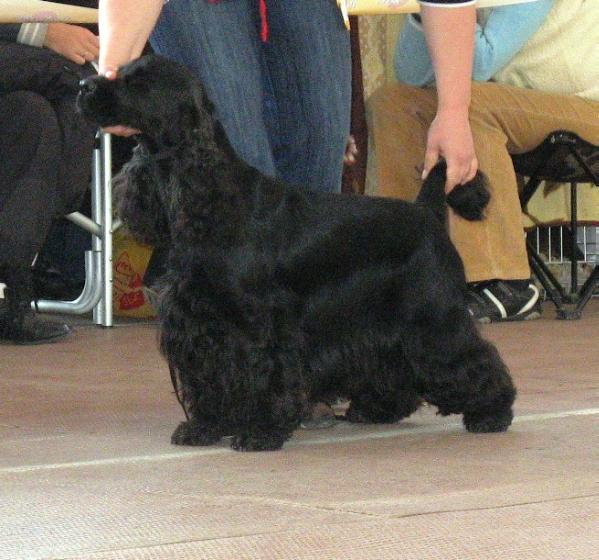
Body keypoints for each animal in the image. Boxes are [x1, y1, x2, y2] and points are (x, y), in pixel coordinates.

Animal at [77, 54, 516, 452]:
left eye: (141, 83)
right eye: (120, 72)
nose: (83, 85)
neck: (211, 197)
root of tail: (426, 210)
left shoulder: (259, 324)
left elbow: (264, 375)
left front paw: (259, 433)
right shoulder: (200, 324)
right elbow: (208, 381)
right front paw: (203, 428)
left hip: (432, 315)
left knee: (471, 357)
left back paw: (492, 413)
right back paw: (375, 409)